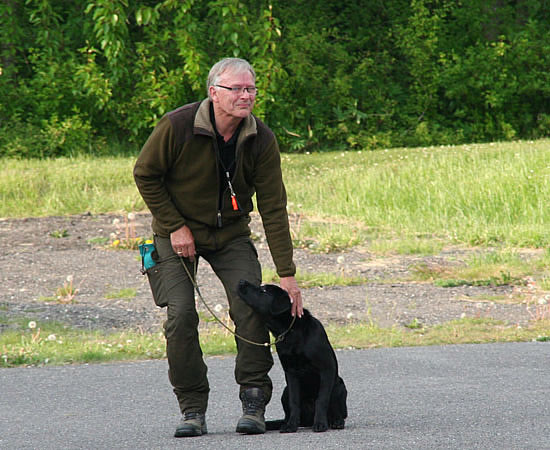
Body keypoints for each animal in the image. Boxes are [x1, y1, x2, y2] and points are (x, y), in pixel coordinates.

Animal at [238, 282, 350, 432]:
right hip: (285, 391)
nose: (241, 282)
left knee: (336, 410)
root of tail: (307, 420)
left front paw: (320, 423)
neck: (291, 331)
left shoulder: (326, 369)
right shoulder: (290, 373)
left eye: (263, 290)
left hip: (339, 386)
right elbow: (294, 402)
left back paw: (336, 421)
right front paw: (291, 425)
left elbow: (322, 399)